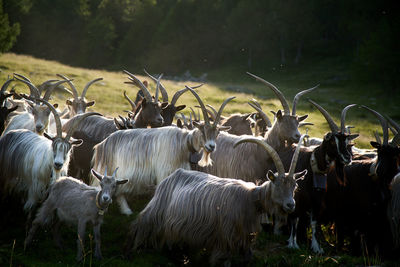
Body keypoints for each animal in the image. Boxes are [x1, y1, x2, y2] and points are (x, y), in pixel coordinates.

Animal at [92, 88, 233, 216]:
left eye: (217, 132)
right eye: (203, 130)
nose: (211, 146)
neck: (183, 141)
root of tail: (105, 143)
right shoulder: (164, 171)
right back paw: (126, 210)